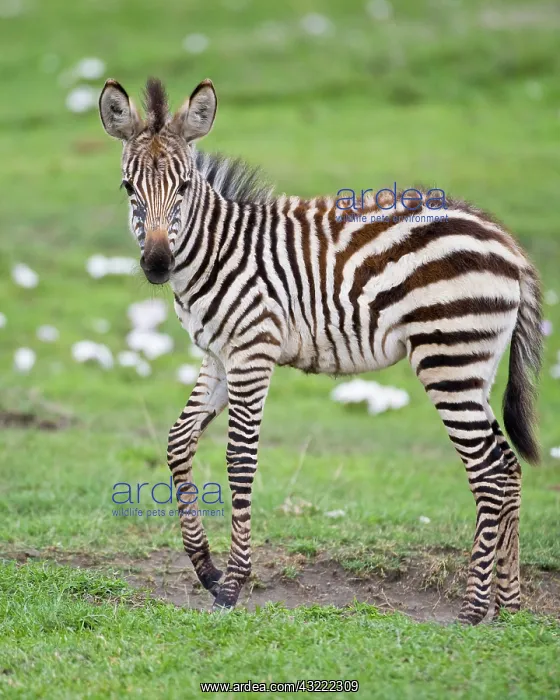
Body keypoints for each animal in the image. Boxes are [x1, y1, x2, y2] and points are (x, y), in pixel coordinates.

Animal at [99, 77, 542, 624]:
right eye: (128, 188)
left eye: (183, 187)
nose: (158, 264)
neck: (217, 252)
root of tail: (507, 241)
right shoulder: (220, 356)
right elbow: (178, 441)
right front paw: (206, 568)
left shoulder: (253, 351)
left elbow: (239, 458)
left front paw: (232, 586)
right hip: (473, 363)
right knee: (507, 465)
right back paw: (510, 604)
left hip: (447, 357)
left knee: (487, 471)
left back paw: (473, 610)